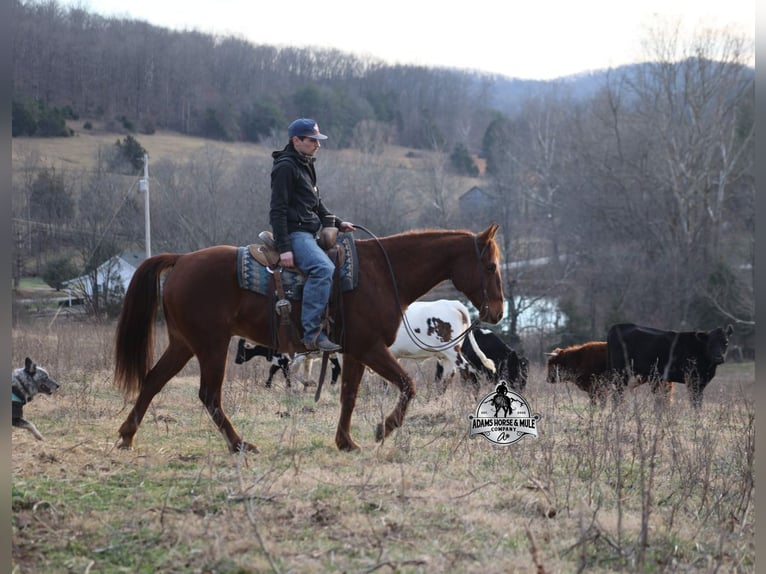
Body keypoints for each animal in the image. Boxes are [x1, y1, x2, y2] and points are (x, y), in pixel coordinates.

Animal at [114, 225, 505, 453]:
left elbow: (349, 395)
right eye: (490, 266)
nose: (498, 312)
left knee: (153, 380)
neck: (382, 273)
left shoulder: (354, 352)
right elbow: (408, 384)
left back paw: (127, 435)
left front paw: (346, 442)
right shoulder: (370, 348)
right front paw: (383, 429)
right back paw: (239, 445)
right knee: (208, 395)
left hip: (183, 343)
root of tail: (181, 261)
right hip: (211, 345)